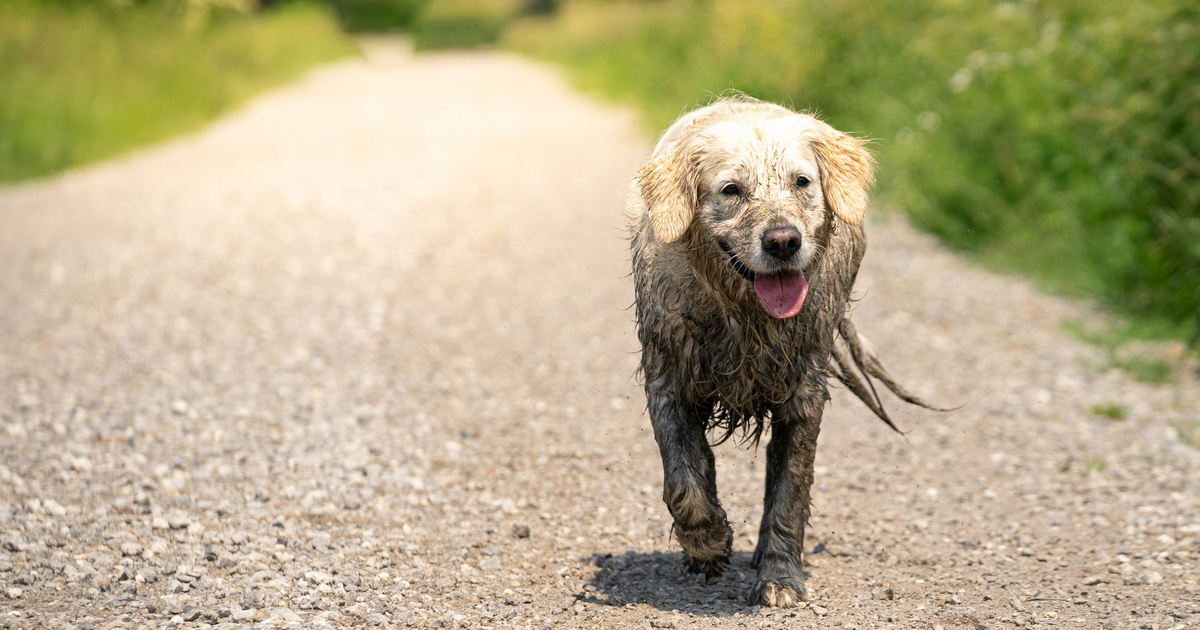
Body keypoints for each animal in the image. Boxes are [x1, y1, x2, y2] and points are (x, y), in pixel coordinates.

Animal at [628, 97, 936, 604]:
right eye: (731, 190)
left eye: (802, 182)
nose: (783, 241)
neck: (746, 318)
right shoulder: (669, 381)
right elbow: (683, 480)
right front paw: (708, 543)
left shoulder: (802, 395)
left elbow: (790, 490)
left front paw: (779, 577)